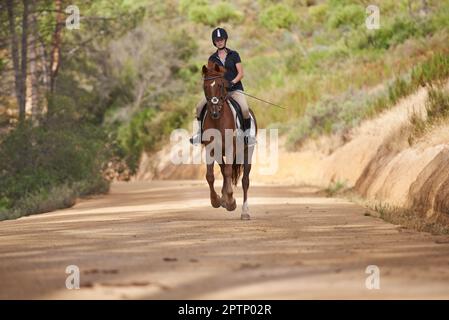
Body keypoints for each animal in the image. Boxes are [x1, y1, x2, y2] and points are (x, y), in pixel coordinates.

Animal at [200, 62, 256, 220]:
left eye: (220, 85)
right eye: (205, 86)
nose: (214, 111)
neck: (218, 120)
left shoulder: (231, 148)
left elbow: (229, 173)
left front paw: (231, 202)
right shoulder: (211, 149)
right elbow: (210, 176)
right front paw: (216, 200)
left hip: (247, 152)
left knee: (244, 180)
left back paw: (245, 212)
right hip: (220, 153)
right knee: (224, 170)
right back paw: (224, 199)